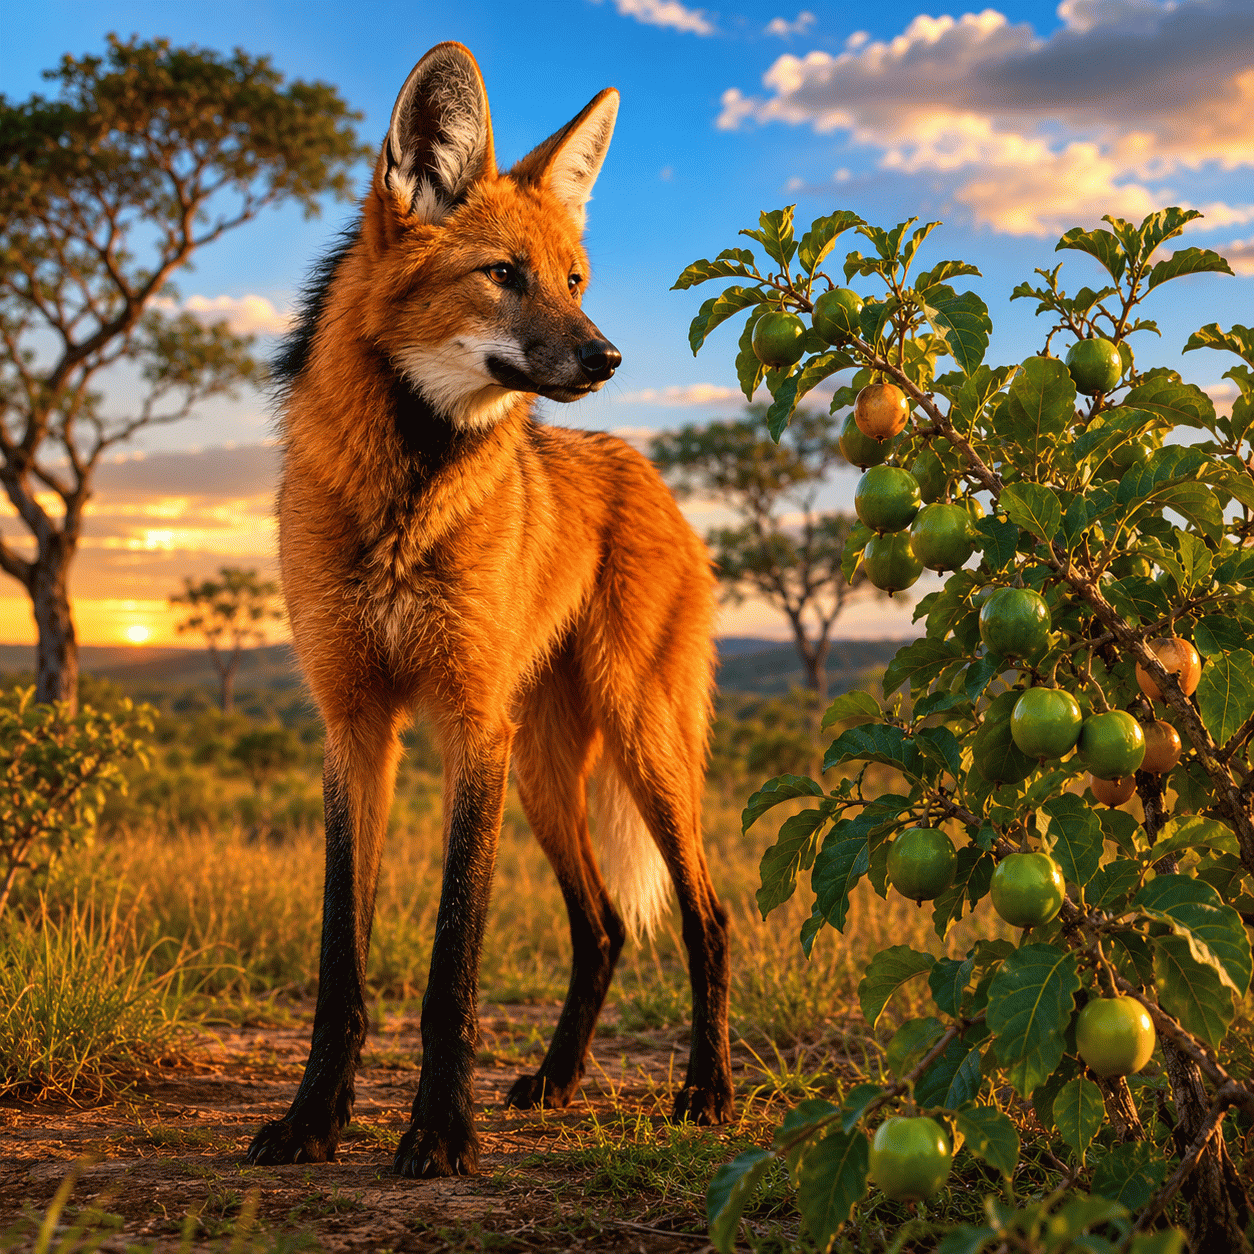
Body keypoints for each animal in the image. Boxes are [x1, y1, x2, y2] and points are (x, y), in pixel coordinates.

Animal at [245, 43, 734, 1178]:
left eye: (575, 281)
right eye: (502, 274)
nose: (607, 358)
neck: (404, 504)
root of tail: (649, 473)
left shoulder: (471, 728)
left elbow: (449, 969)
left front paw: (437, 1133)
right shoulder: (355, 725)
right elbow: (342, 967)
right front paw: (314, 1119)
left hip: (638, 741)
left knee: (706, 917)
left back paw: (706, 1090)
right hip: (549, 770)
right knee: (603, 926)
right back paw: (556, 1081)